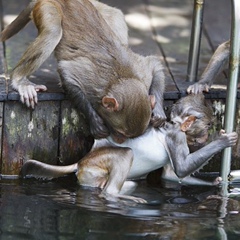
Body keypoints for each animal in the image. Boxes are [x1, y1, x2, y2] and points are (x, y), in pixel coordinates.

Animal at [0, 0, 166, 141]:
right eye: (120, 133)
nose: (121, 141)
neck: (120, 78)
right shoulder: (91, 78)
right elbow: (66, 71)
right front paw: (95, 121)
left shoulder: (140, 72)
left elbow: (155, 64)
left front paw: (158, 111)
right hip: (47, 6)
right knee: (53, 31)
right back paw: (20, 80)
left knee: (115, 14)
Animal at [19, 94, 237, 203]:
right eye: (208, 125)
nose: (207, 134)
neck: (174, 125)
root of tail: (82, 161)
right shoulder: (177, 137)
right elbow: (182, 168)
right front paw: (222, 141)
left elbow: (171, 175)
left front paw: (216, 183)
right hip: (94, 165)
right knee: (125, 154)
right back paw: (116, 196)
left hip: (91, 176)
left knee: (124, 183)